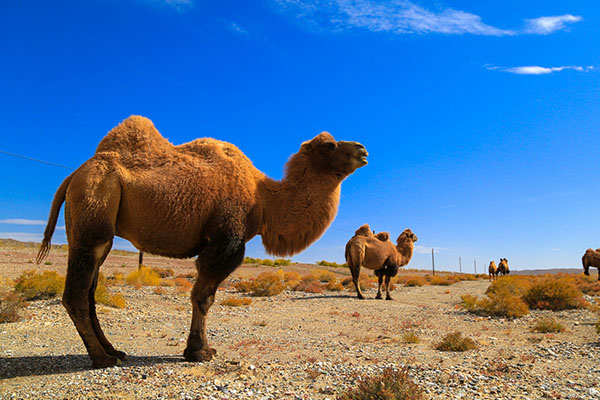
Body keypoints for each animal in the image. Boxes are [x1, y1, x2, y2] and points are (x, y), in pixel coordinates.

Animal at [36, 115, 370, 368]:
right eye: (329, 145)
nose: (363, 149)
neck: (263, 199)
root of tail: (73, 176)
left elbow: (204, 296)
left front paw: (198, 348)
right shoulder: (227, 239)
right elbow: (203, 297)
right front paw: (199, 351)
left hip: (98, 228)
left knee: (90, 293)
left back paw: (114, 351)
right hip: (93, 210)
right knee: (76, 295)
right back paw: (101, 359)